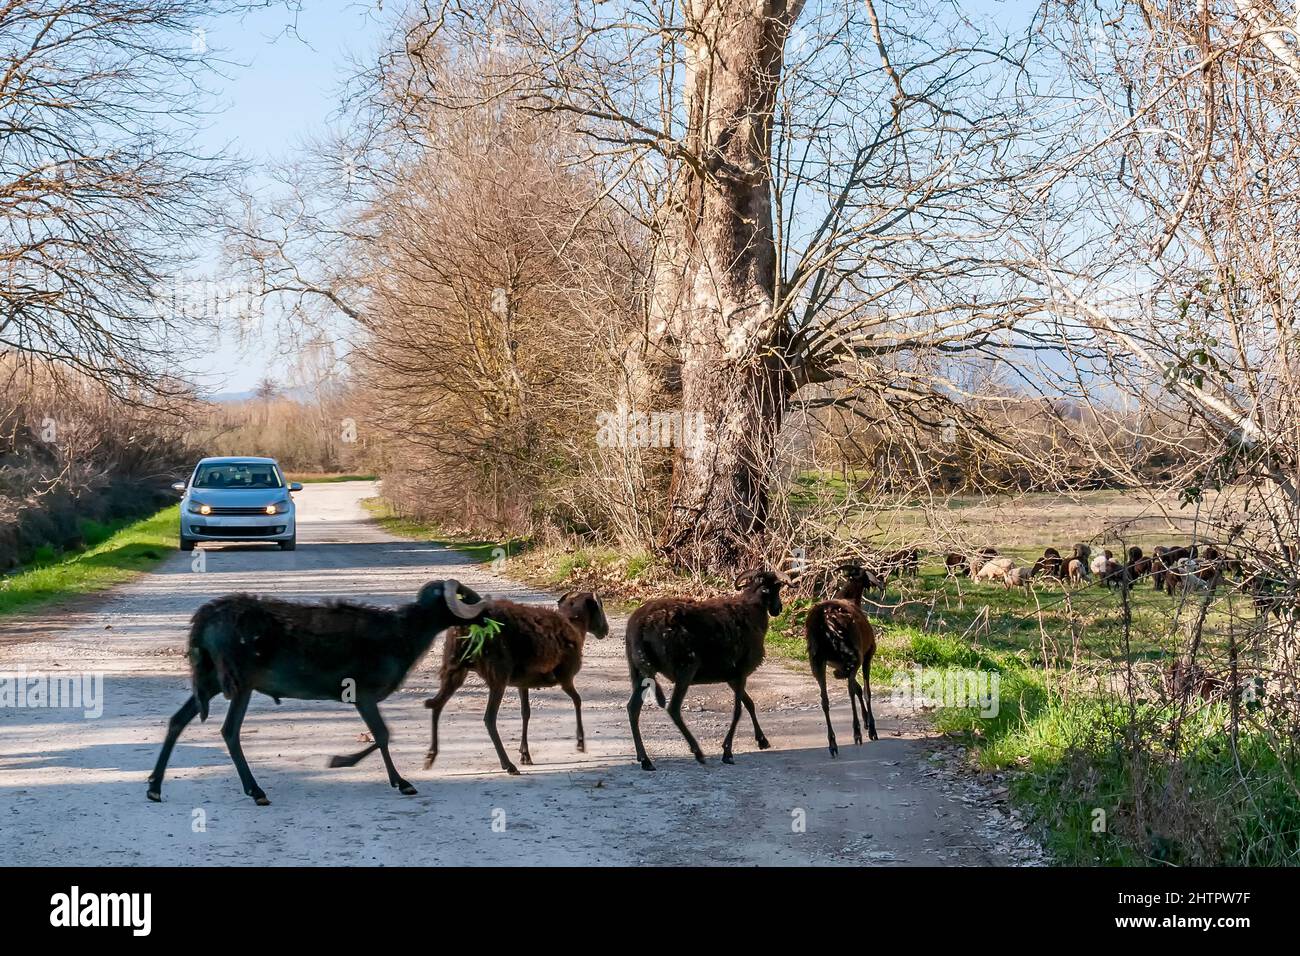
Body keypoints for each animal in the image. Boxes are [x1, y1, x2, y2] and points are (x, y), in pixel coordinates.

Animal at [146, 579, 485, 806]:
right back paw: (256, 792)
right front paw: (389, 778)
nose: (487, 612)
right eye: (464, 595)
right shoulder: (363, 694)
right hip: (240, 681)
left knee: (177, 720)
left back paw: (154, 787)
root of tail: (203, 620)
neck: (406, 632)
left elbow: (381, 736)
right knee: (229, 731)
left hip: (213, 679)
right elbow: (383, 735)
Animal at [423, 591, 609, 775]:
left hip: (454, 667)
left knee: (437, 705)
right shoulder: (565, 677)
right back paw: (508, 765)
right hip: (498, 675)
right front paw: (580, 742)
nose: (606, 630)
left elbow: (525, 712)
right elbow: (578, 701)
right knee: (489, 718)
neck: (575, 625)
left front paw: (525, 754)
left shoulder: (523, 683)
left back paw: (431, 756)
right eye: (600, 605)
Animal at [624, 569, 787, 771]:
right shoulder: (741, 672)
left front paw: (762, 740)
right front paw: (727, 752)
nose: (779, 609)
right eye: (776, 589)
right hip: (686, 666)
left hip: (639, 670)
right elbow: (738, 710)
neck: (752, 610)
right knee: (673, 708)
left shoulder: (731, 676)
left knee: (633, 708)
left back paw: (645, 760)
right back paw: (698, 753)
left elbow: (749, 703)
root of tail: (639, 626)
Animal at [805, 564, 879, 756]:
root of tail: (823, 619)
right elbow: (865, 690)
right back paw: (857, 733)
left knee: (825, 699)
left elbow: (858, 688)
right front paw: (871, 728)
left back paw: (833, 744)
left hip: (818, 661)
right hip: (854, 655)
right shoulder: (867, 655)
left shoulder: (840, 664)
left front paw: (867, 721)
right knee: (850, 689)